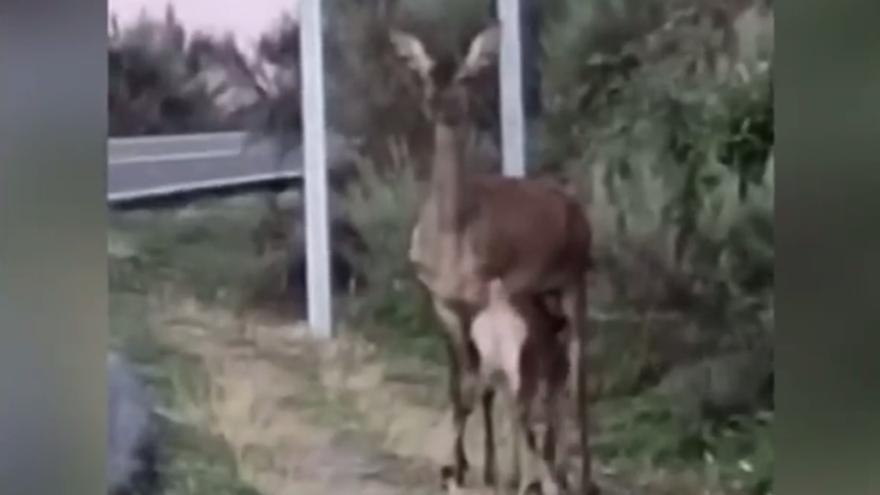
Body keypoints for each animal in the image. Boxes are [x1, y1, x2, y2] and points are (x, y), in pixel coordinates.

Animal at [392, 21, 600, 494]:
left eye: (467, 75)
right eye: (426, 72)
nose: (440, 103)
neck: (452, 232)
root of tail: (576, 211)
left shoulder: (480, 297)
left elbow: (480, 385)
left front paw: (478, 469)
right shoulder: (443, 303)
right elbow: (461, 385)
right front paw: (464, 467)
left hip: (574, 281)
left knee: (575, 371)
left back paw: (577, 476)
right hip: (539, 297)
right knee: (549, 371)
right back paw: (548, 465)